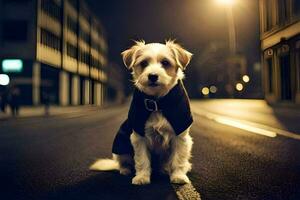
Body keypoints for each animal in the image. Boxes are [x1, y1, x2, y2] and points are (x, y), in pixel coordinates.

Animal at [90, 39, 193, 185]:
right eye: (144, 63)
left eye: (165, 63)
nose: (153, 76)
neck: (158, 102)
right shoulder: (139, 137)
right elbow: (142, 159)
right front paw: (142, 177)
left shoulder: (180, 137)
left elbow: (178, 159)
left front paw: (178, 176)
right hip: (122, 146)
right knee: (122, 163)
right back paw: (125, 170)